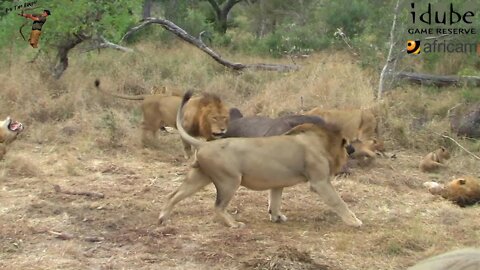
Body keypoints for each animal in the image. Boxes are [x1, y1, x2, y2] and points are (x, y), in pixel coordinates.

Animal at [94, 79, 230, 157]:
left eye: (224, 117)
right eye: (214, 118)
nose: (223, 129)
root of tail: (148, 96)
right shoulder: (184, 130)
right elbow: (187, 147)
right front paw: (189, 158)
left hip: (158, 122)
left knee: (151, 130)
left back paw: (155, 144)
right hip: (152, 121)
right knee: (143, 126)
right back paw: (144, 143)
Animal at [158, 91, 364, 228]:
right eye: (347, 144)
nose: (352, 150)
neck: (323, 140)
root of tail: (205, 144)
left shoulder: (278, 183)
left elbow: (275, 201)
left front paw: (276, 217)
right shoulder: (320, 182)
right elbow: (338, 201)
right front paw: (354, 221)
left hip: (199, 177)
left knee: (173, 195)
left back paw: (162, 218)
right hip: (229, 181)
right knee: (217, 207)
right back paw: (234, 224)